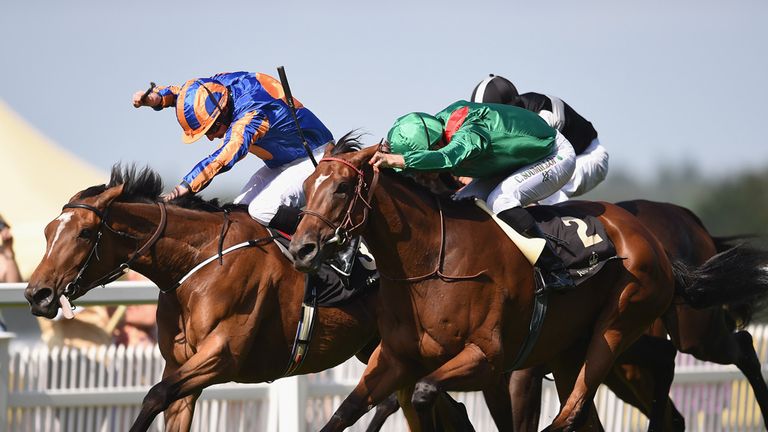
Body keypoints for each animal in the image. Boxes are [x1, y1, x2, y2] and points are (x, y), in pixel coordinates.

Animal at [22, 167, 396, 432]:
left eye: (85, 233)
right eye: (48, 231)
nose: (36, 293)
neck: (198, 263)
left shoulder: (222, 356)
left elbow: (154, 395)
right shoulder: (181, 366)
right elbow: (167, 403)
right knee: (388, 401)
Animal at [286, 143, 768, 432]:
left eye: (342, 187)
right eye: (307, 186)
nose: (301, 249)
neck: (431, 263)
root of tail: (652, 239)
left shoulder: (487, 359)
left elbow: (423, 394)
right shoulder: (395, 359)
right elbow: (345, 413)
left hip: (629, 327)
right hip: (574, 349)